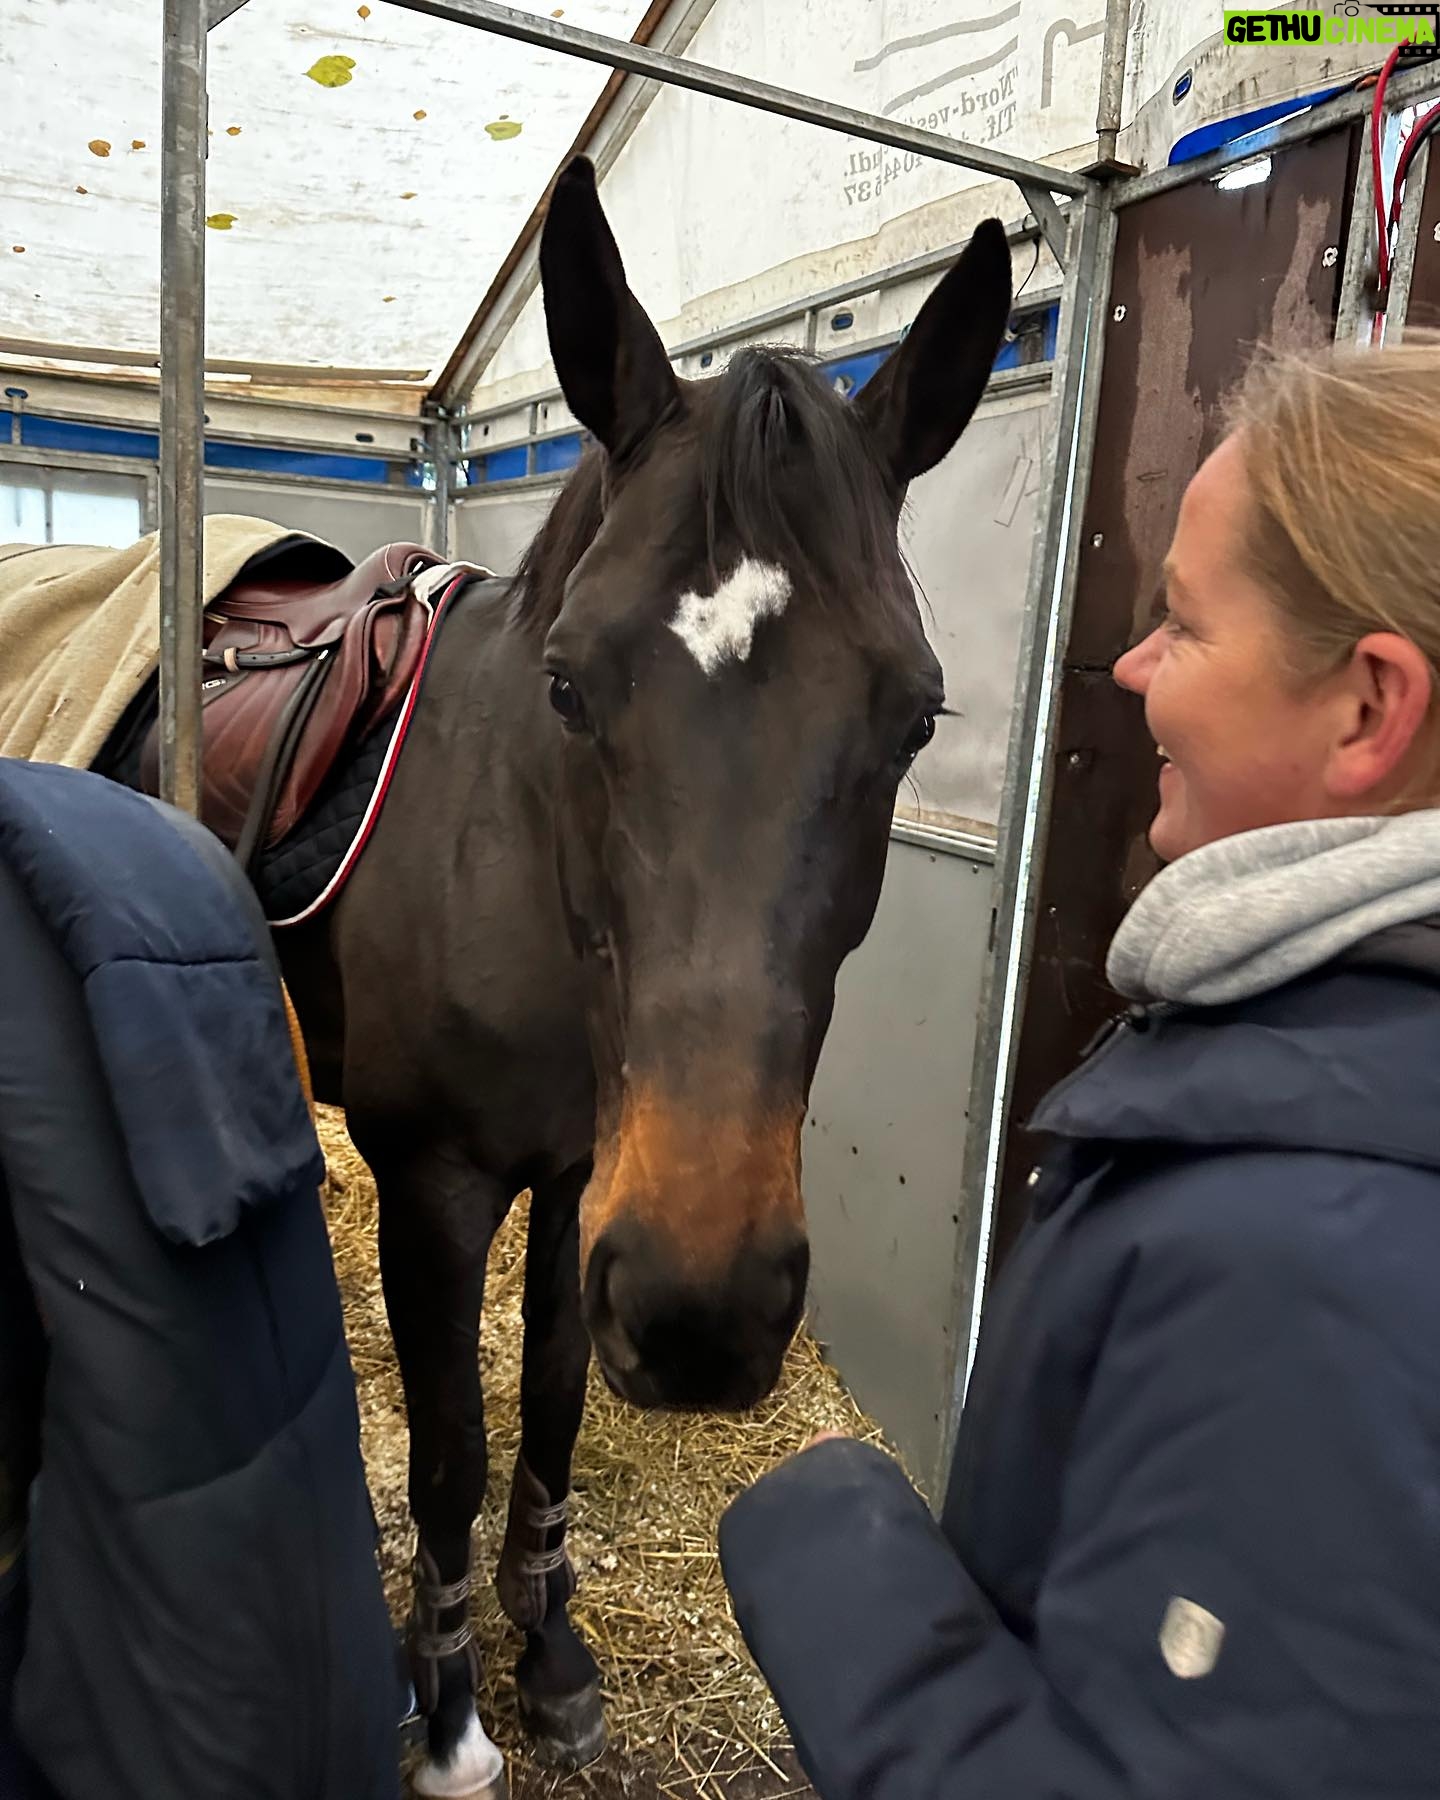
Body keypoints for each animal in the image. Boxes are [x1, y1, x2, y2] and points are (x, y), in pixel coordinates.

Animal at [256, 156, 1011, 1797]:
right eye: (567, 687)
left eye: (919, 717)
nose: (700, 1308)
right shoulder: (436, 1184)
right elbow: (454, 1451)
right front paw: (450, 1702)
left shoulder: (578, 1173)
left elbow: (546, 1403)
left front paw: (548, 1651)